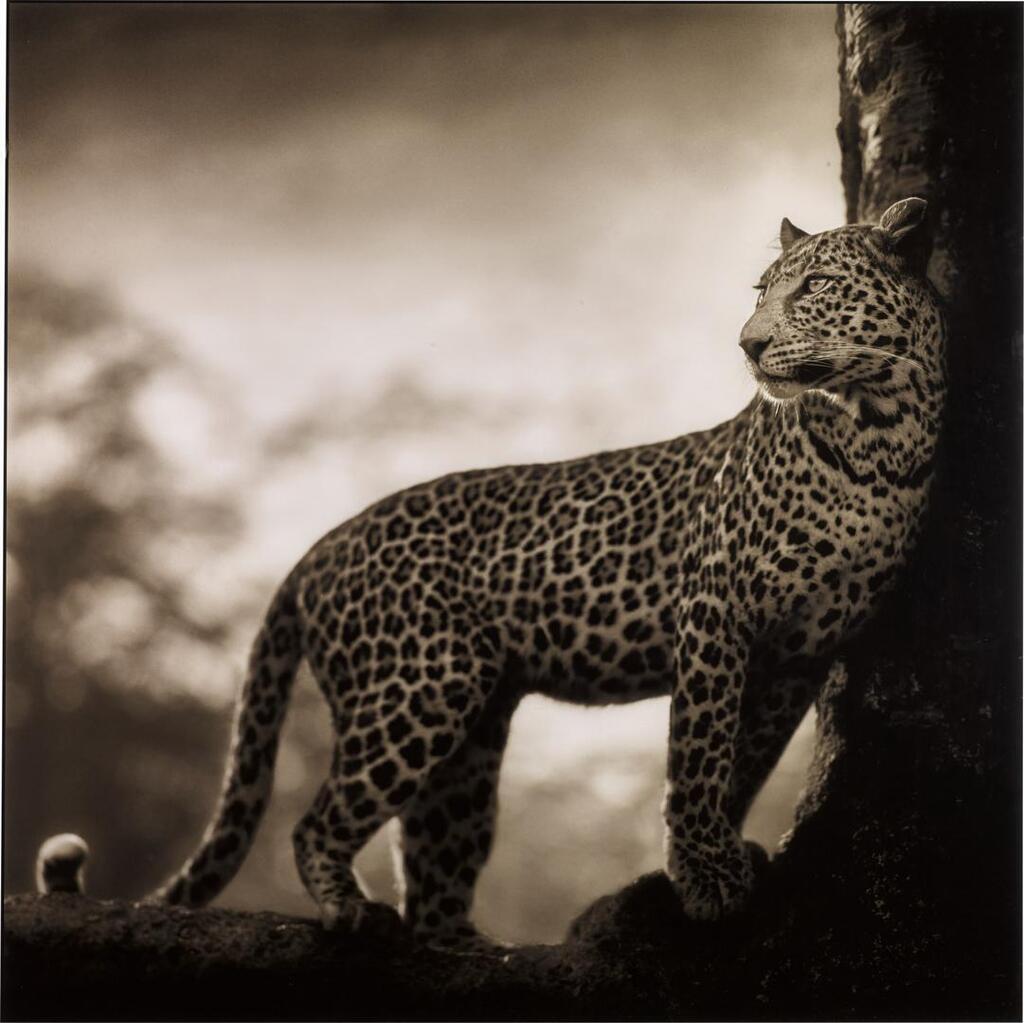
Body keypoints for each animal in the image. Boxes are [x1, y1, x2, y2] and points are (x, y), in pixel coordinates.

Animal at [98, 198, 945, 950]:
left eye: (817, 286)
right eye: (762, 290)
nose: (748, 344)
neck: (881, 437)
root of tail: (318, 547)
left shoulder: (801, 651)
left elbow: (747, 759)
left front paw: (719, 853)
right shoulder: (715, 611)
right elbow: (700, 751)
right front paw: (702, 874)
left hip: (469, 735)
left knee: (435, 857)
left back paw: (463, 943)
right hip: (419, 688)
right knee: (317, 821)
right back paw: (350, 909)